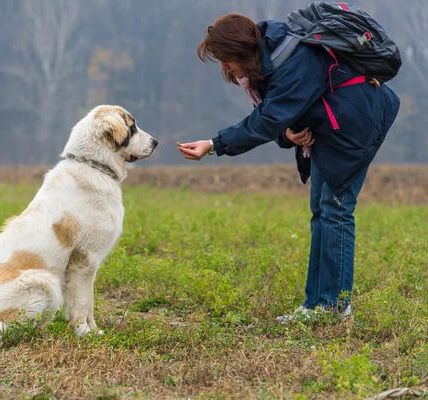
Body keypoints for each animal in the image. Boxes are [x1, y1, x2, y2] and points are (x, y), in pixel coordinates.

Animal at [0, 104, 158, 336]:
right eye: (132, 127)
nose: (155, 142)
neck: (94, 165)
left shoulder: (89, 265)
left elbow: (89, 301)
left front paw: (94, 330)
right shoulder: (85, 260)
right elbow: (82, 302)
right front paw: (83, 332)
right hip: (44, 281)